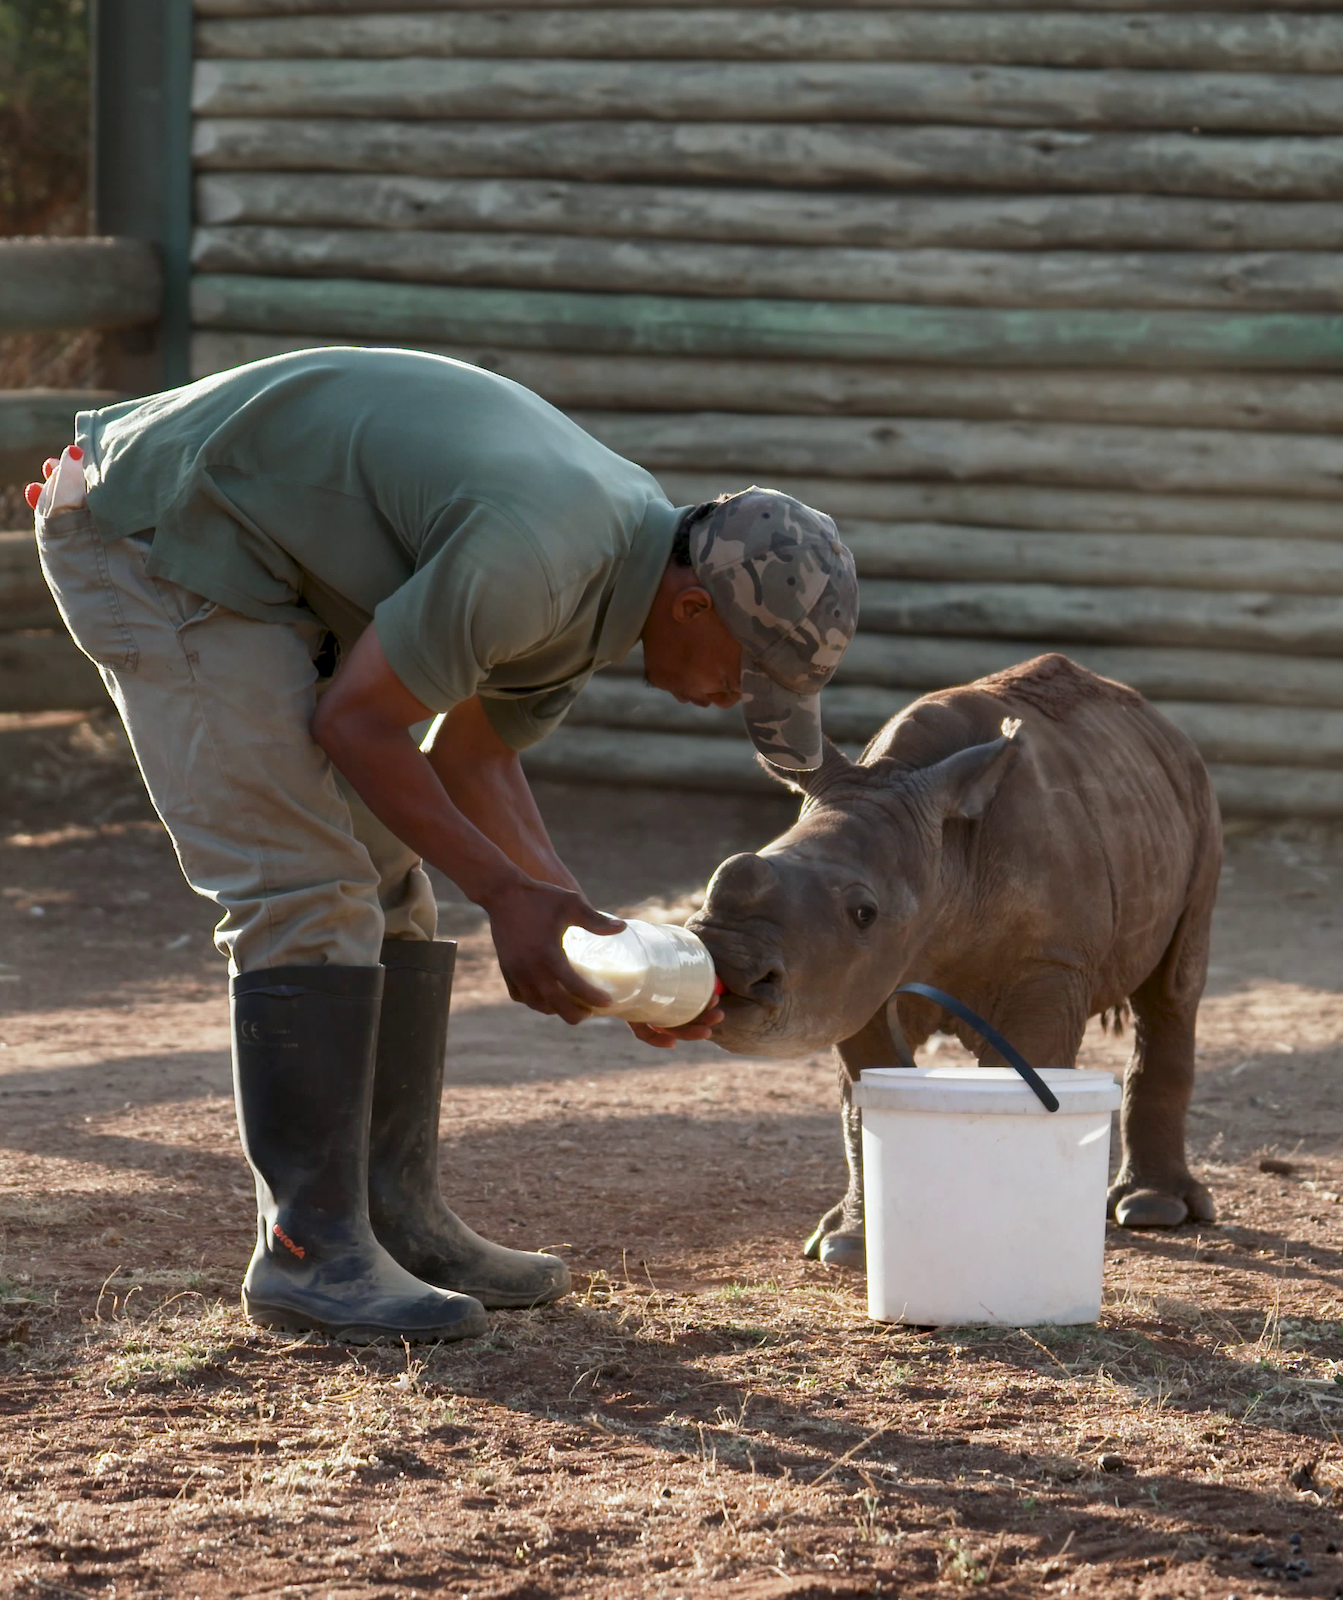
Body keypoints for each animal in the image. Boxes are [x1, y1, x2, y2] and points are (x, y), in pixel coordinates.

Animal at [687, 653, 1221, 1267]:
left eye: (865, 912)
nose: (727, 960)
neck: (947, 859)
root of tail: (1159, 721)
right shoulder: (857, 978)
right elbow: (864, 1096)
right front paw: (850, 1247)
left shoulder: (1049, 960)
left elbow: (1026, 1070)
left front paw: (1010, 1232)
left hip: (1197, 797)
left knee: (1172, 991)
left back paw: (1153, 1211)